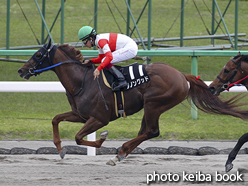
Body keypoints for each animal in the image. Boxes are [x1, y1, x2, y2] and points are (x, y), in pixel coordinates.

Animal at [17, 39, 248, 166]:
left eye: (38, 54)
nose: (21, 70)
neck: (81, 81)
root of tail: (182, 75)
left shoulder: (99, 118)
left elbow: (79, 137)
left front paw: (101, 140)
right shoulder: (81, 115)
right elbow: (56, 120)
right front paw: (60, 149)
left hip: (154, 103)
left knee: (152, 131)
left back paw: (121, 151)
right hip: (150, 107)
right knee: (145, 131)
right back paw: (121, 153)